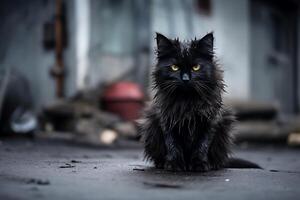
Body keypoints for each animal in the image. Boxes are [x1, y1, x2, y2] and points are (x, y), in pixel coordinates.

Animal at [139, 32, 240, 172]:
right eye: (174, 67)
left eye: (196, 67)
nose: (186, 79)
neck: (187, 101)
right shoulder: (167, 119)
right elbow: (172, 144)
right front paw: (174, 164)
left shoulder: (210, 121)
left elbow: (202, 145)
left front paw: (199, 164)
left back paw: (212, 164)